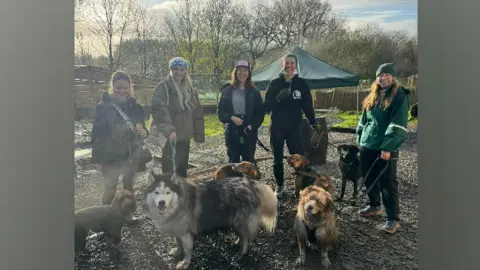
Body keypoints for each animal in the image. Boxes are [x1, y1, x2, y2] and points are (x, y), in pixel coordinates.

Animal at [142, 172, 278, 268]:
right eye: (156, 192)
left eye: (168, 192)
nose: (161, 203)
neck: (177, 205)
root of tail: (250, 184)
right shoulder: (176, 228)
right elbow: (178, 242)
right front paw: (177, 251)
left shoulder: (186, 233)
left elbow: (187, 250)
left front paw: (185, 263)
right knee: (243, 235)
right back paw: (237, 241)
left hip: (240, 220)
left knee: (246, 239)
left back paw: (240, 254)